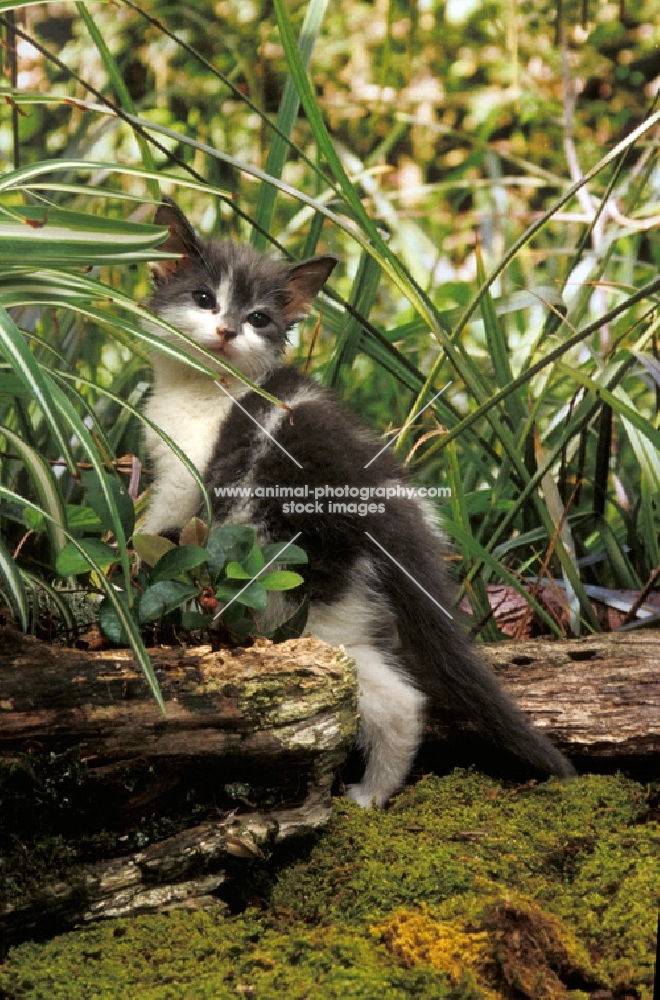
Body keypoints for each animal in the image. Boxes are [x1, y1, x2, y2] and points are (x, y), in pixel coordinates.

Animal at [141, 199, 572, 808]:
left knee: (396, 697)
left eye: (259, 319)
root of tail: (396, 520)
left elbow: (159, 532)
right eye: (204, 298)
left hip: (304, 593)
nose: (225, 330)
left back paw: (371, 795)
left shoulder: (186, 480)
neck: (210, 389)